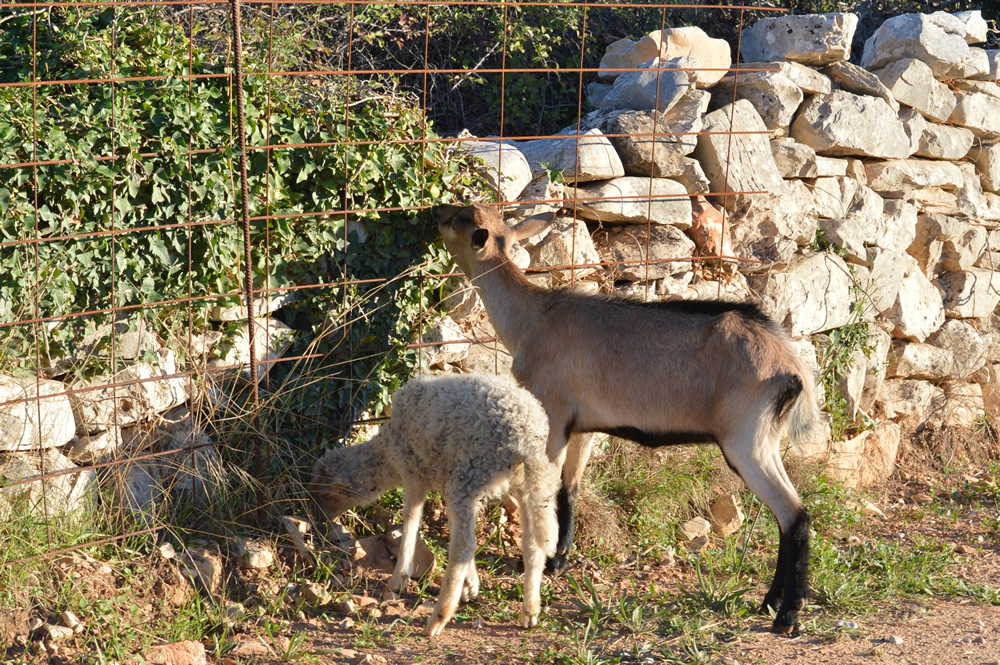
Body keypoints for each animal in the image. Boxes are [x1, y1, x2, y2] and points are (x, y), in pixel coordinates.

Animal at [311, 373, 559, 637]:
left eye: (325, 494)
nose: (319, 519)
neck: (386, 455)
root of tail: (527, 439)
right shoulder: (442, 476)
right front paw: (471, 585)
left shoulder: (414, 473)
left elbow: (410, 520)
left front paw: (400, 577)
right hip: (527, 485)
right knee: (532, 544)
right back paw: (530, 610)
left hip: (469, 475)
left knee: (463, 547)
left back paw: (439, 617)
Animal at [433, 202, 825, 634]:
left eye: (459, 219)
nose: (435, 212)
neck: (534, 317)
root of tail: (792, 368)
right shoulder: (581, 427)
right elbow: (569, 488)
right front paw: (560, 560)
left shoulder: (552, 412)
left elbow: (545, 491)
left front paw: (541, 560)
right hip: (764, 441)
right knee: (788, 516)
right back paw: (770, 603)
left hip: (746, 441)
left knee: (794, 514)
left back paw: (788, 613)